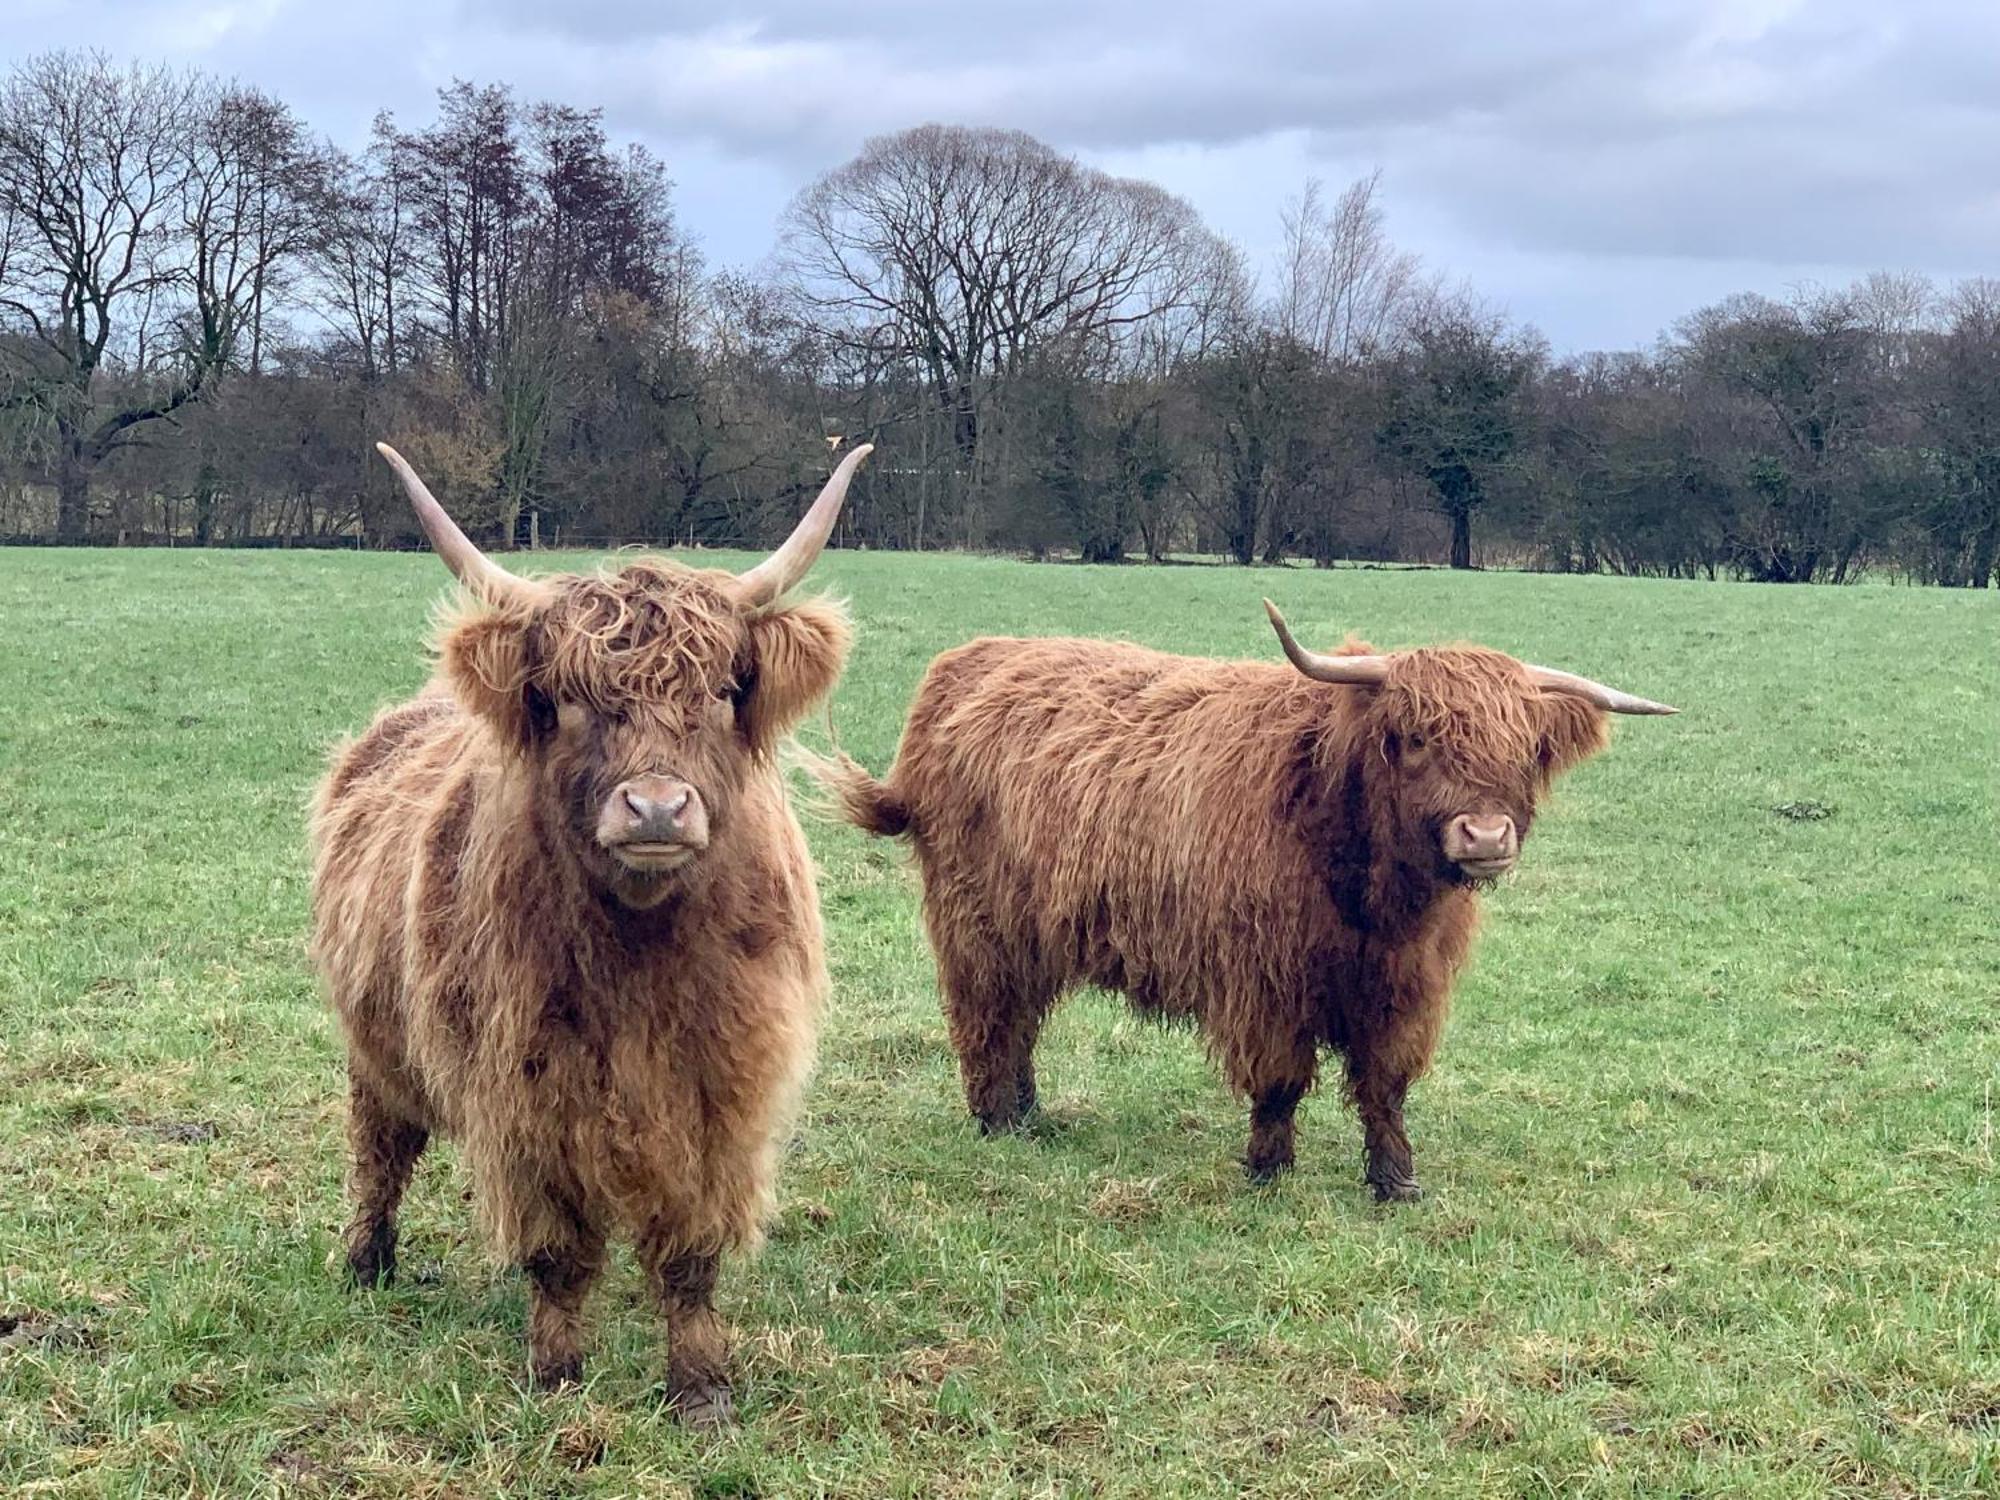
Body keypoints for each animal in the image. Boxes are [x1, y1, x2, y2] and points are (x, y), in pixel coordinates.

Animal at [314, 438, 876, 1424]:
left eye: (724, 690)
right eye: (567, 700)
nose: (655, 808)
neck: (638, 963)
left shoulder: (723, 1092)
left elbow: (691, 1253)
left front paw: (702, 1388)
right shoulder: (523, 1097)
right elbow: (558, 1249)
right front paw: (557, 1375)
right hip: (375, 1046)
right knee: (379, 1147)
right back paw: (367, 1261)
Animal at [812, 604, 1672, 1208]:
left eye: (1526, 747)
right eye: (1415, 737)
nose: (1486, 833)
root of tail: (970, 663)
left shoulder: (1407, 986)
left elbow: (1386, 1084)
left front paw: (1396, 1180)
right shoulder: (1263, 978)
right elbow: (1280, 1079)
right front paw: (1268, 1170)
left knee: (1021, 1019)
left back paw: (1030, 1115)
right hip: (976, 921)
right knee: (988, 1016)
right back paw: (998, 1122)